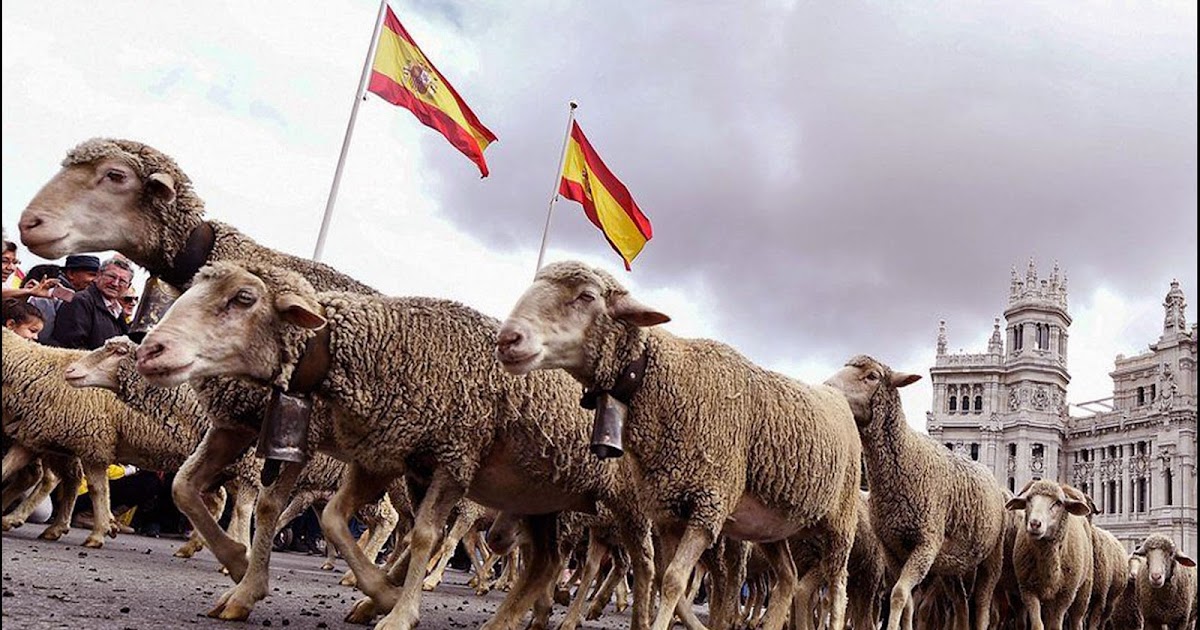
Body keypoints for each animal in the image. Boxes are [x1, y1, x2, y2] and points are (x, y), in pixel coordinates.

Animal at [133, 260, 657, 630]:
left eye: (243, 298)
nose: (150, 349)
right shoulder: (379, 455)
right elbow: (321, 516)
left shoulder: (451, 457)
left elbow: (422, 534)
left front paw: (397, 609)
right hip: (542, 498)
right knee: (543, 563)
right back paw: (506, 619)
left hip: (621, 507)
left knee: (634, 568)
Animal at [497, 260, 863, 630]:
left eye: (587, 296)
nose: (508, 339)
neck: (672, 380)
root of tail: (836, 396)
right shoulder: (669, 510)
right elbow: (665, 577)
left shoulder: (708, 504)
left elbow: (674, 579)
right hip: (771, 526)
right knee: (787, 578)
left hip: (839, 522)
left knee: (837, 588)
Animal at [824, 355, 1008, 630]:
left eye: (872, 376)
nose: (826, 388)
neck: (908, 455)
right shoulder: (892, 549)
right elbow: (907, 600)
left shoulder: (926, 544)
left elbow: (899, 594)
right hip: (952, 562)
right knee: (961, 602)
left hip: (992, 557)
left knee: (982, 603)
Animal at [1004, 479, 1095, 630]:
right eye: (1028, 499)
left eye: (1058, 502)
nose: (1035, 523)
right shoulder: (1028, 590)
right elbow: (1038, 624)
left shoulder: (1064, 595)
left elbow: (1055, 625)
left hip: (1083, 590)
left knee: (1077, 620)